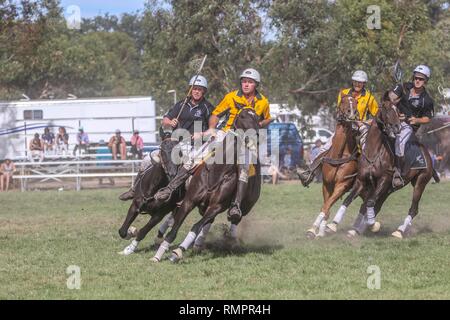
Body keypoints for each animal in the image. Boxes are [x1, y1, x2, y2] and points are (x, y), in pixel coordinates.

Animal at [304, 94, 360, 239]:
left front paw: (317, 230)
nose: (351, 113)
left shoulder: (341, 185)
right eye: (343, 101)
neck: (339, 156)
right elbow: (326, 207)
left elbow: (327, 206)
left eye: (355, 102)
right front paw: (316, 231)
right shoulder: (327, 184)